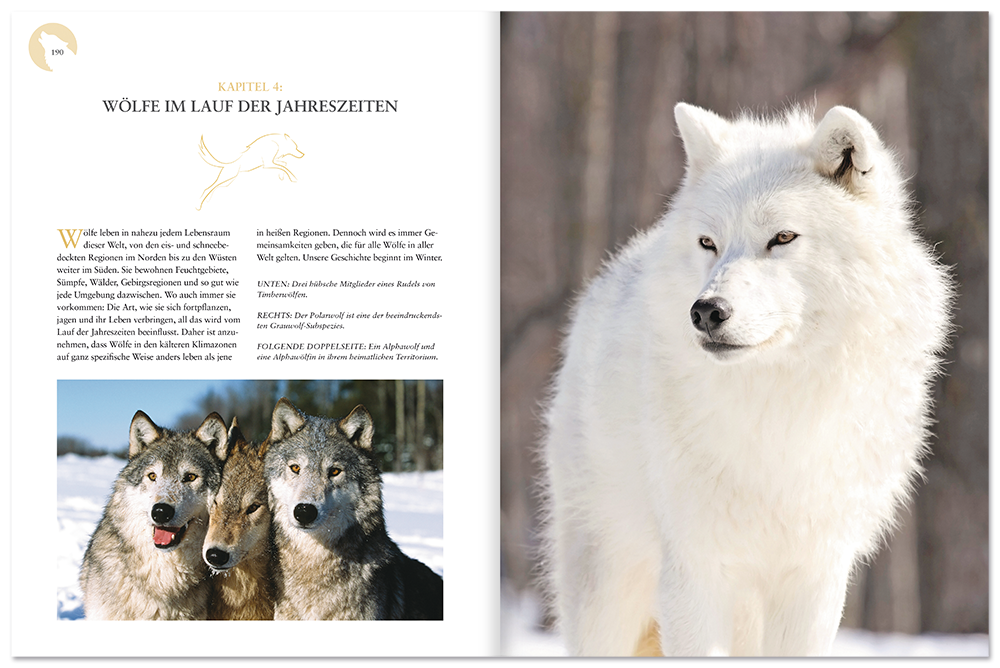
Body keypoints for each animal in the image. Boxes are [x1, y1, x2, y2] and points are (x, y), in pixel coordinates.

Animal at [542, 103, 952, 656]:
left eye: (782, 237)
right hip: (608, 594)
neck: (776, 410)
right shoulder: (695, 573)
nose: (706, 311)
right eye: (708, 243)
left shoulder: (815, 577)